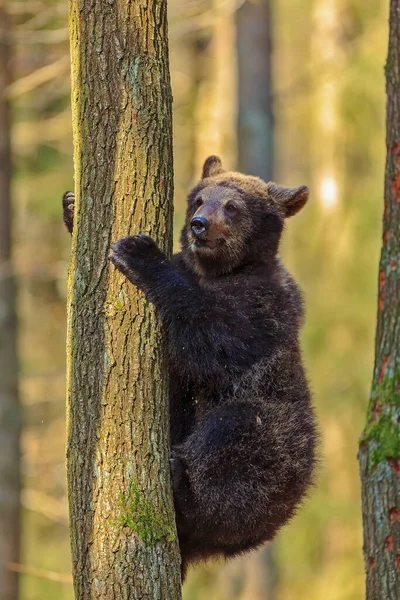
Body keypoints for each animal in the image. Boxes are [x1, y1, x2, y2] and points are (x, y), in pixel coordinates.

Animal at [62, 157, 318, 580]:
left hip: (282, 450)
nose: (200, 224)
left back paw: (181, 480)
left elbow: (213, 340)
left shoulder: (263, 309)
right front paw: (70, 207)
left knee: (237, 441)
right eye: (199, 199)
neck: (219, 271)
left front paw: (137, 251)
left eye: (231, 206)